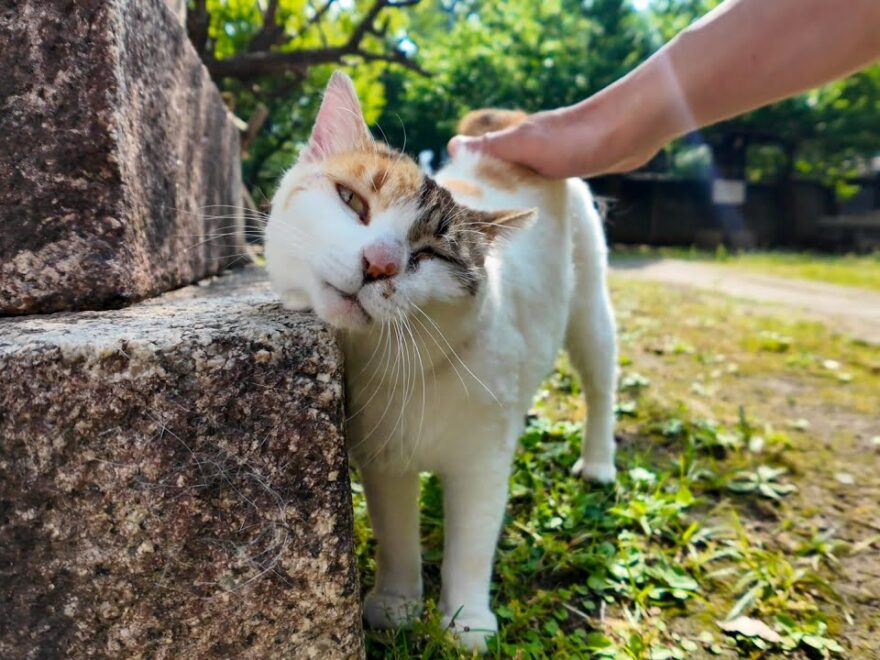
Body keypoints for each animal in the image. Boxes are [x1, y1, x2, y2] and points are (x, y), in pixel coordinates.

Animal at [264, 71, 616, 648]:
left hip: (590, 309)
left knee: (601, 384)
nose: (378, 263)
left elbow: (471, 546)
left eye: (431, 254)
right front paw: (397, 605)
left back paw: (600, 464)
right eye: (351, 201)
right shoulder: (384, 462)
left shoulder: (483, 464)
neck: (409, 375)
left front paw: (467, 623)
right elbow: (397, 538)